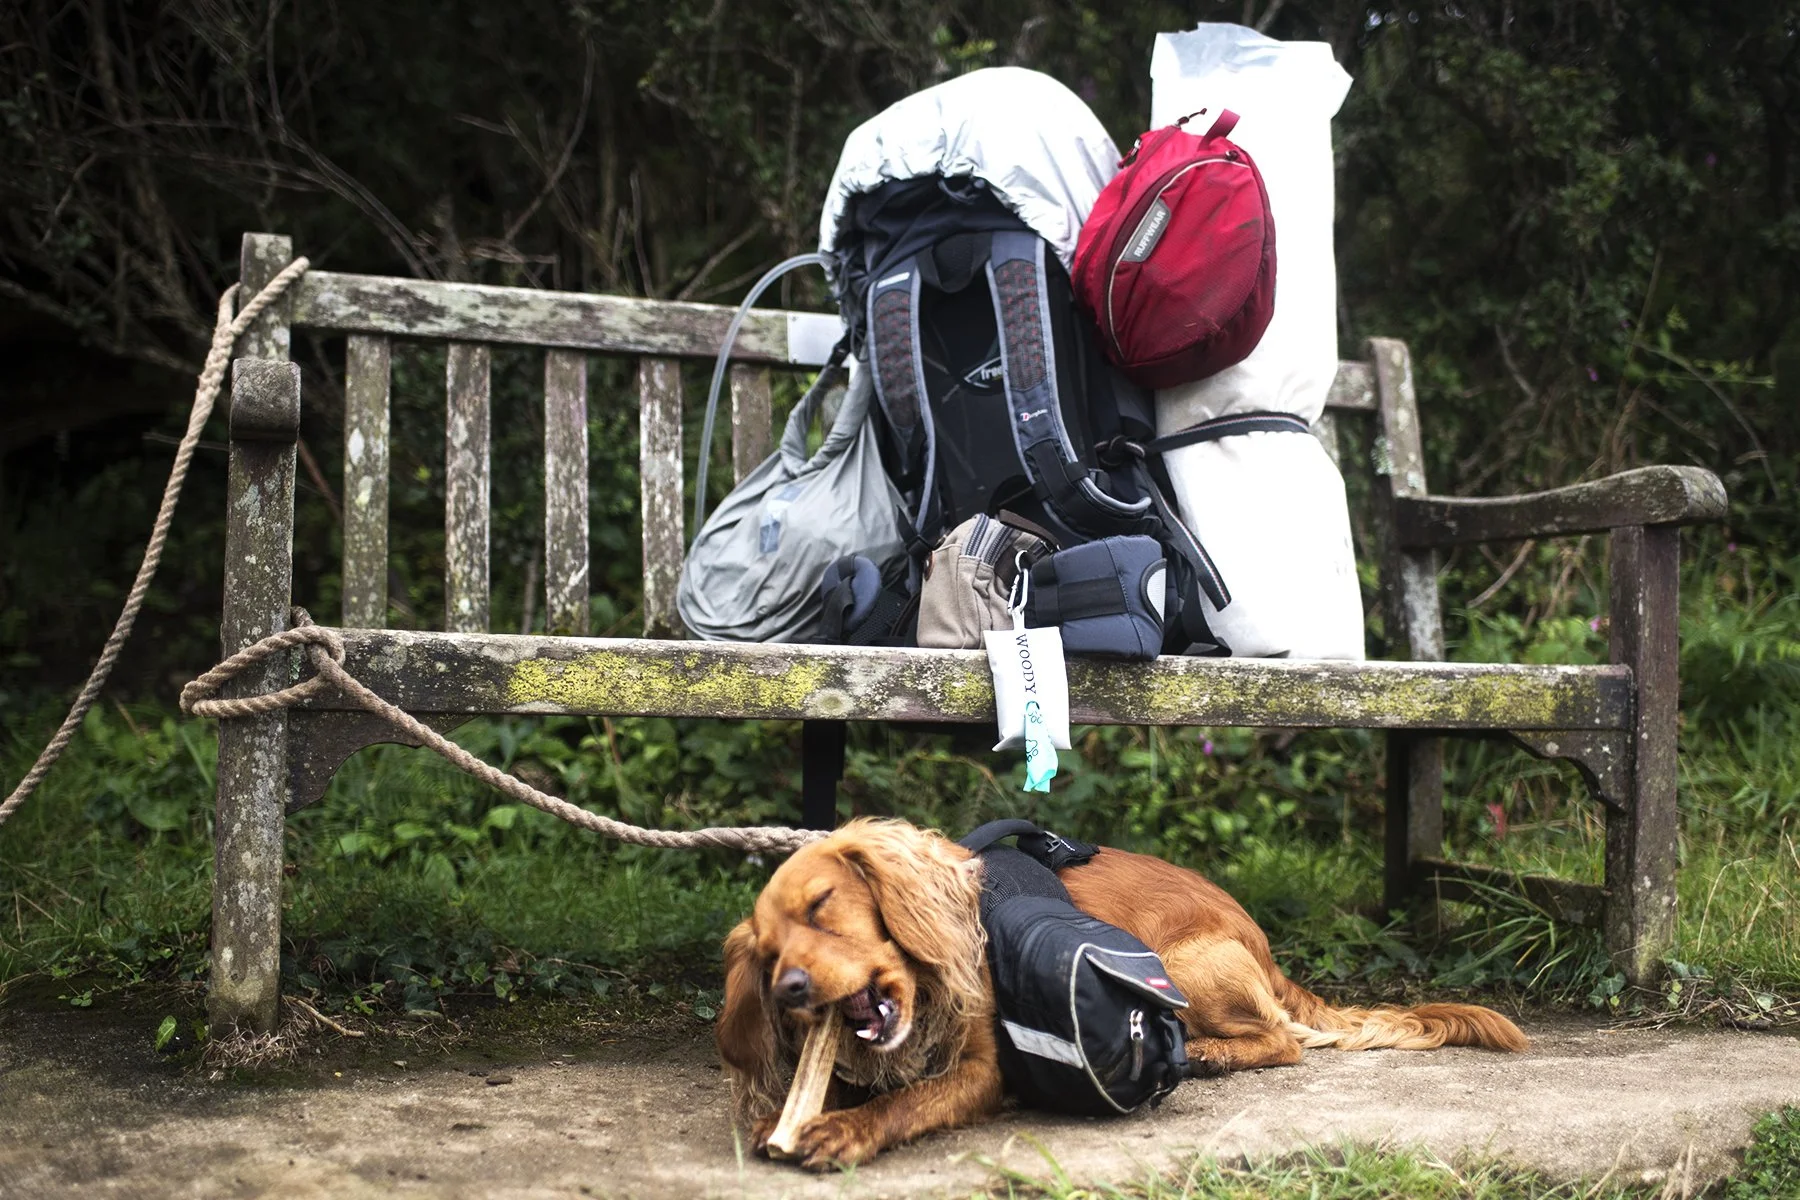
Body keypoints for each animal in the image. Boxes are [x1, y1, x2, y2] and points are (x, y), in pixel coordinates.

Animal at [716, 818, 1527, 1169]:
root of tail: (1262, 945)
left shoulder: (986, 1068)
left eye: (823, 903)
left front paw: (848, 1131)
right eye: (768, 953)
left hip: (1187, 963)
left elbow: (911, 1098)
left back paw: (1209, 1054)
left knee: (1282, 1042)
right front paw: (796, 1116)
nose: (791, 989)